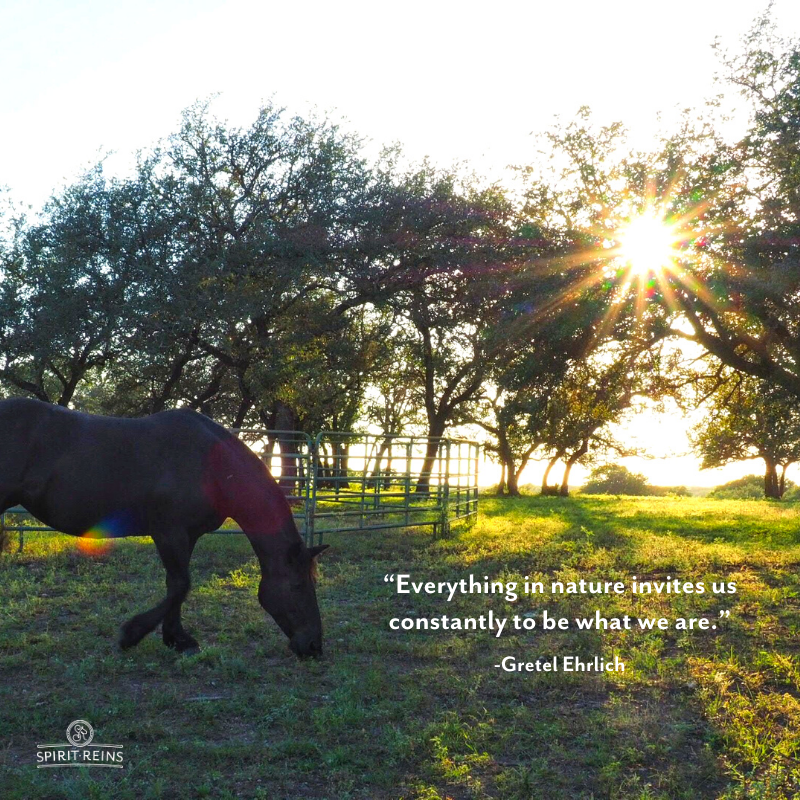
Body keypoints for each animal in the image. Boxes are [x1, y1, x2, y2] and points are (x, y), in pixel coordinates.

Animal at [0, 398, 328, 658]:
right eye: (298, 585)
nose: (314, 646)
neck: (213, 468)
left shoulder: (187, 535)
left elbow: (177, 585)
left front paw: (176, 638)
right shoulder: (169, 533)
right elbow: (181, 585)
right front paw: (133, 634)